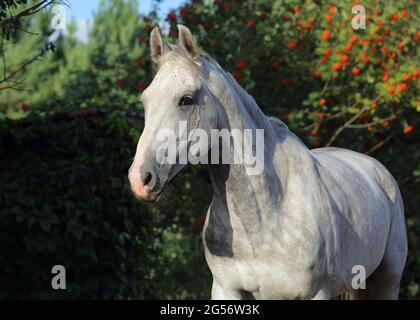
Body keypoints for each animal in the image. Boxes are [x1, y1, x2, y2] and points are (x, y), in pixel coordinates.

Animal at [128, 25, 406, 300]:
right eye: (145, 101)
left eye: (186, 99)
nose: (140, 178)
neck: (264, 222)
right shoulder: (226, 290)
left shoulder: (317, 293)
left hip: (386, 281)